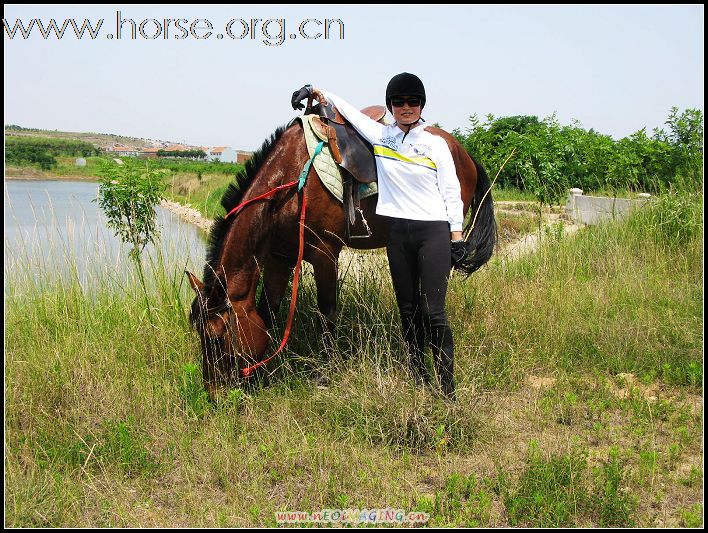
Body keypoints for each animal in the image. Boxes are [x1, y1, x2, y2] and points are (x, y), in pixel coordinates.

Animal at [184, 116, 492, 400]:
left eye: (216, 338)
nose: (213, 395)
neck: (290, 184)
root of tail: (464, 153)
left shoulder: (325, 253)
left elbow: (327, 314)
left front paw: (325, 373)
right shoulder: (279, 259)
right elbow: (267, 313)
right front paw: (263, 373)